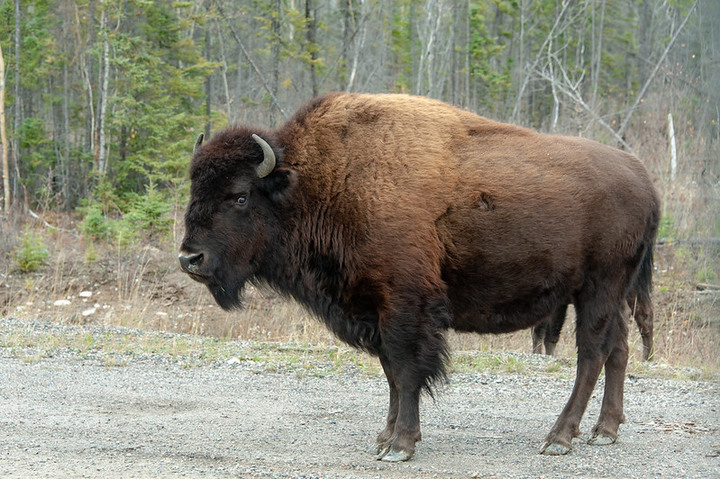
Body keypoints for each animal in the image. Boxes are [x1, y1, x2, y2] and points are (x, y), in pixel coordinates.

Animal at [179, 93, 660, 462]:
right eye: (194, 190)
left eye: (240, 196)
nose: (189, 257)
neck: (320, 180)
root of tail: (645, 180)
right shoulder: (374, 309)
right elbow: (391, 372)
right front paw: (386, 435)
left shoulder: (405, 305)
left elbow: (407, 369)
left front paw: (400, 445)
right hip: (608, 294)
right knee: (617, 350)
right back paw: (604, 431)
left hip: (598, 289)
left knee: (591, 354)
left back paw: (559, 438)